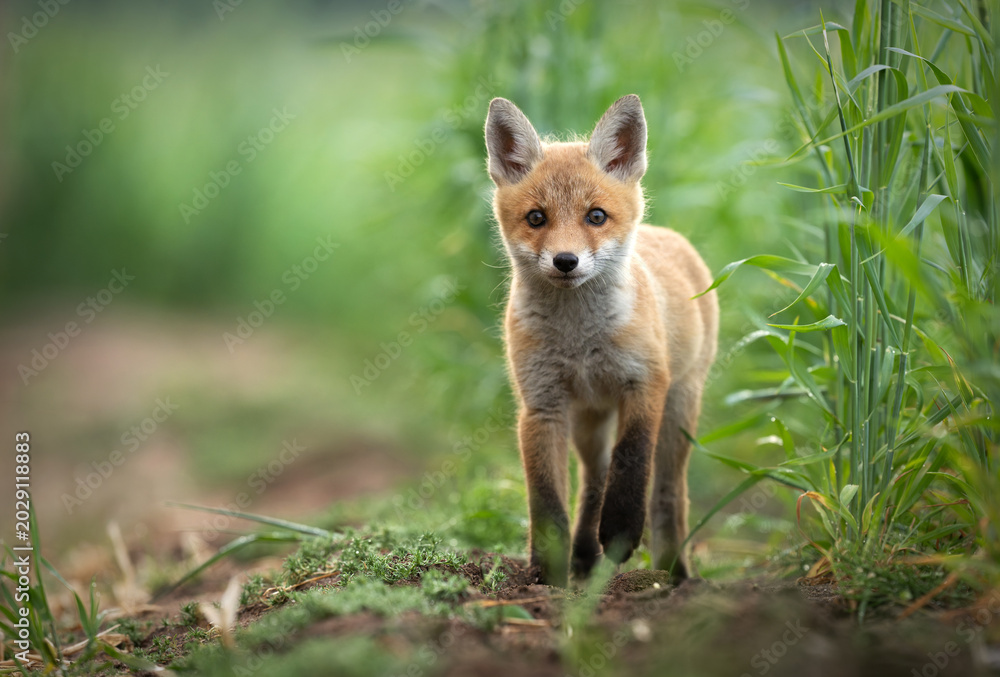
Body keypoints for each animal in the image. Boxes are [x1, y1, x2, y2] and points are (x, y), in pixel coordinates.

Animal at [484, 94, 718, 587]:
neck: (579, 341)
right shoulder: (541, 403)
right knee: (593, 481)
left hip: (679, 409)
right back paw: (585, 556)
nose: (565, 261)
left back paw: (673, 573)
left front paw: (621, 533)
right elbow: (546, 497)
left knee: (668, 490)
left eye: (596, 217)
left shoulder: (645, 383)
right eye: (536, 218)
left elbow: (631, 463)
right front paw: (547, 572)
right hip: (588, 423)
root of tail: (671, 236)